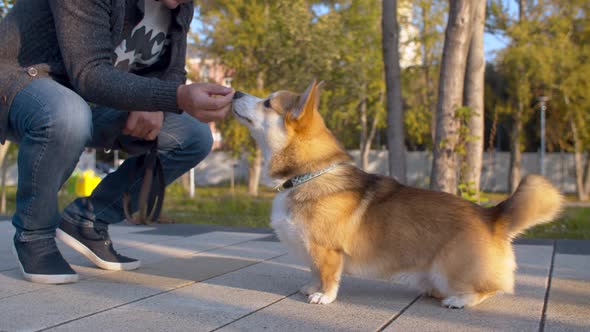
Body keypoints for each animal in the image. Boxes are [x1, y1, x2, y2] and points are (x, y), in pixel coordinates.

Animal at [230, 80, 564, 308]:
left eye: (267, 103)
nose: (234, 92)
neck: (307, 174)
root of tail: (493, 215)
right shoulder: (312, 252)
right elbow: (313, 272)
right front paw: (310, 288)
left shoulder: (328, 251)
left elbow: (328, 276)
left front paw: (323, 296)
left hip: (449, 268)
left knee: (491, 289)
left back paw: (458, 300)